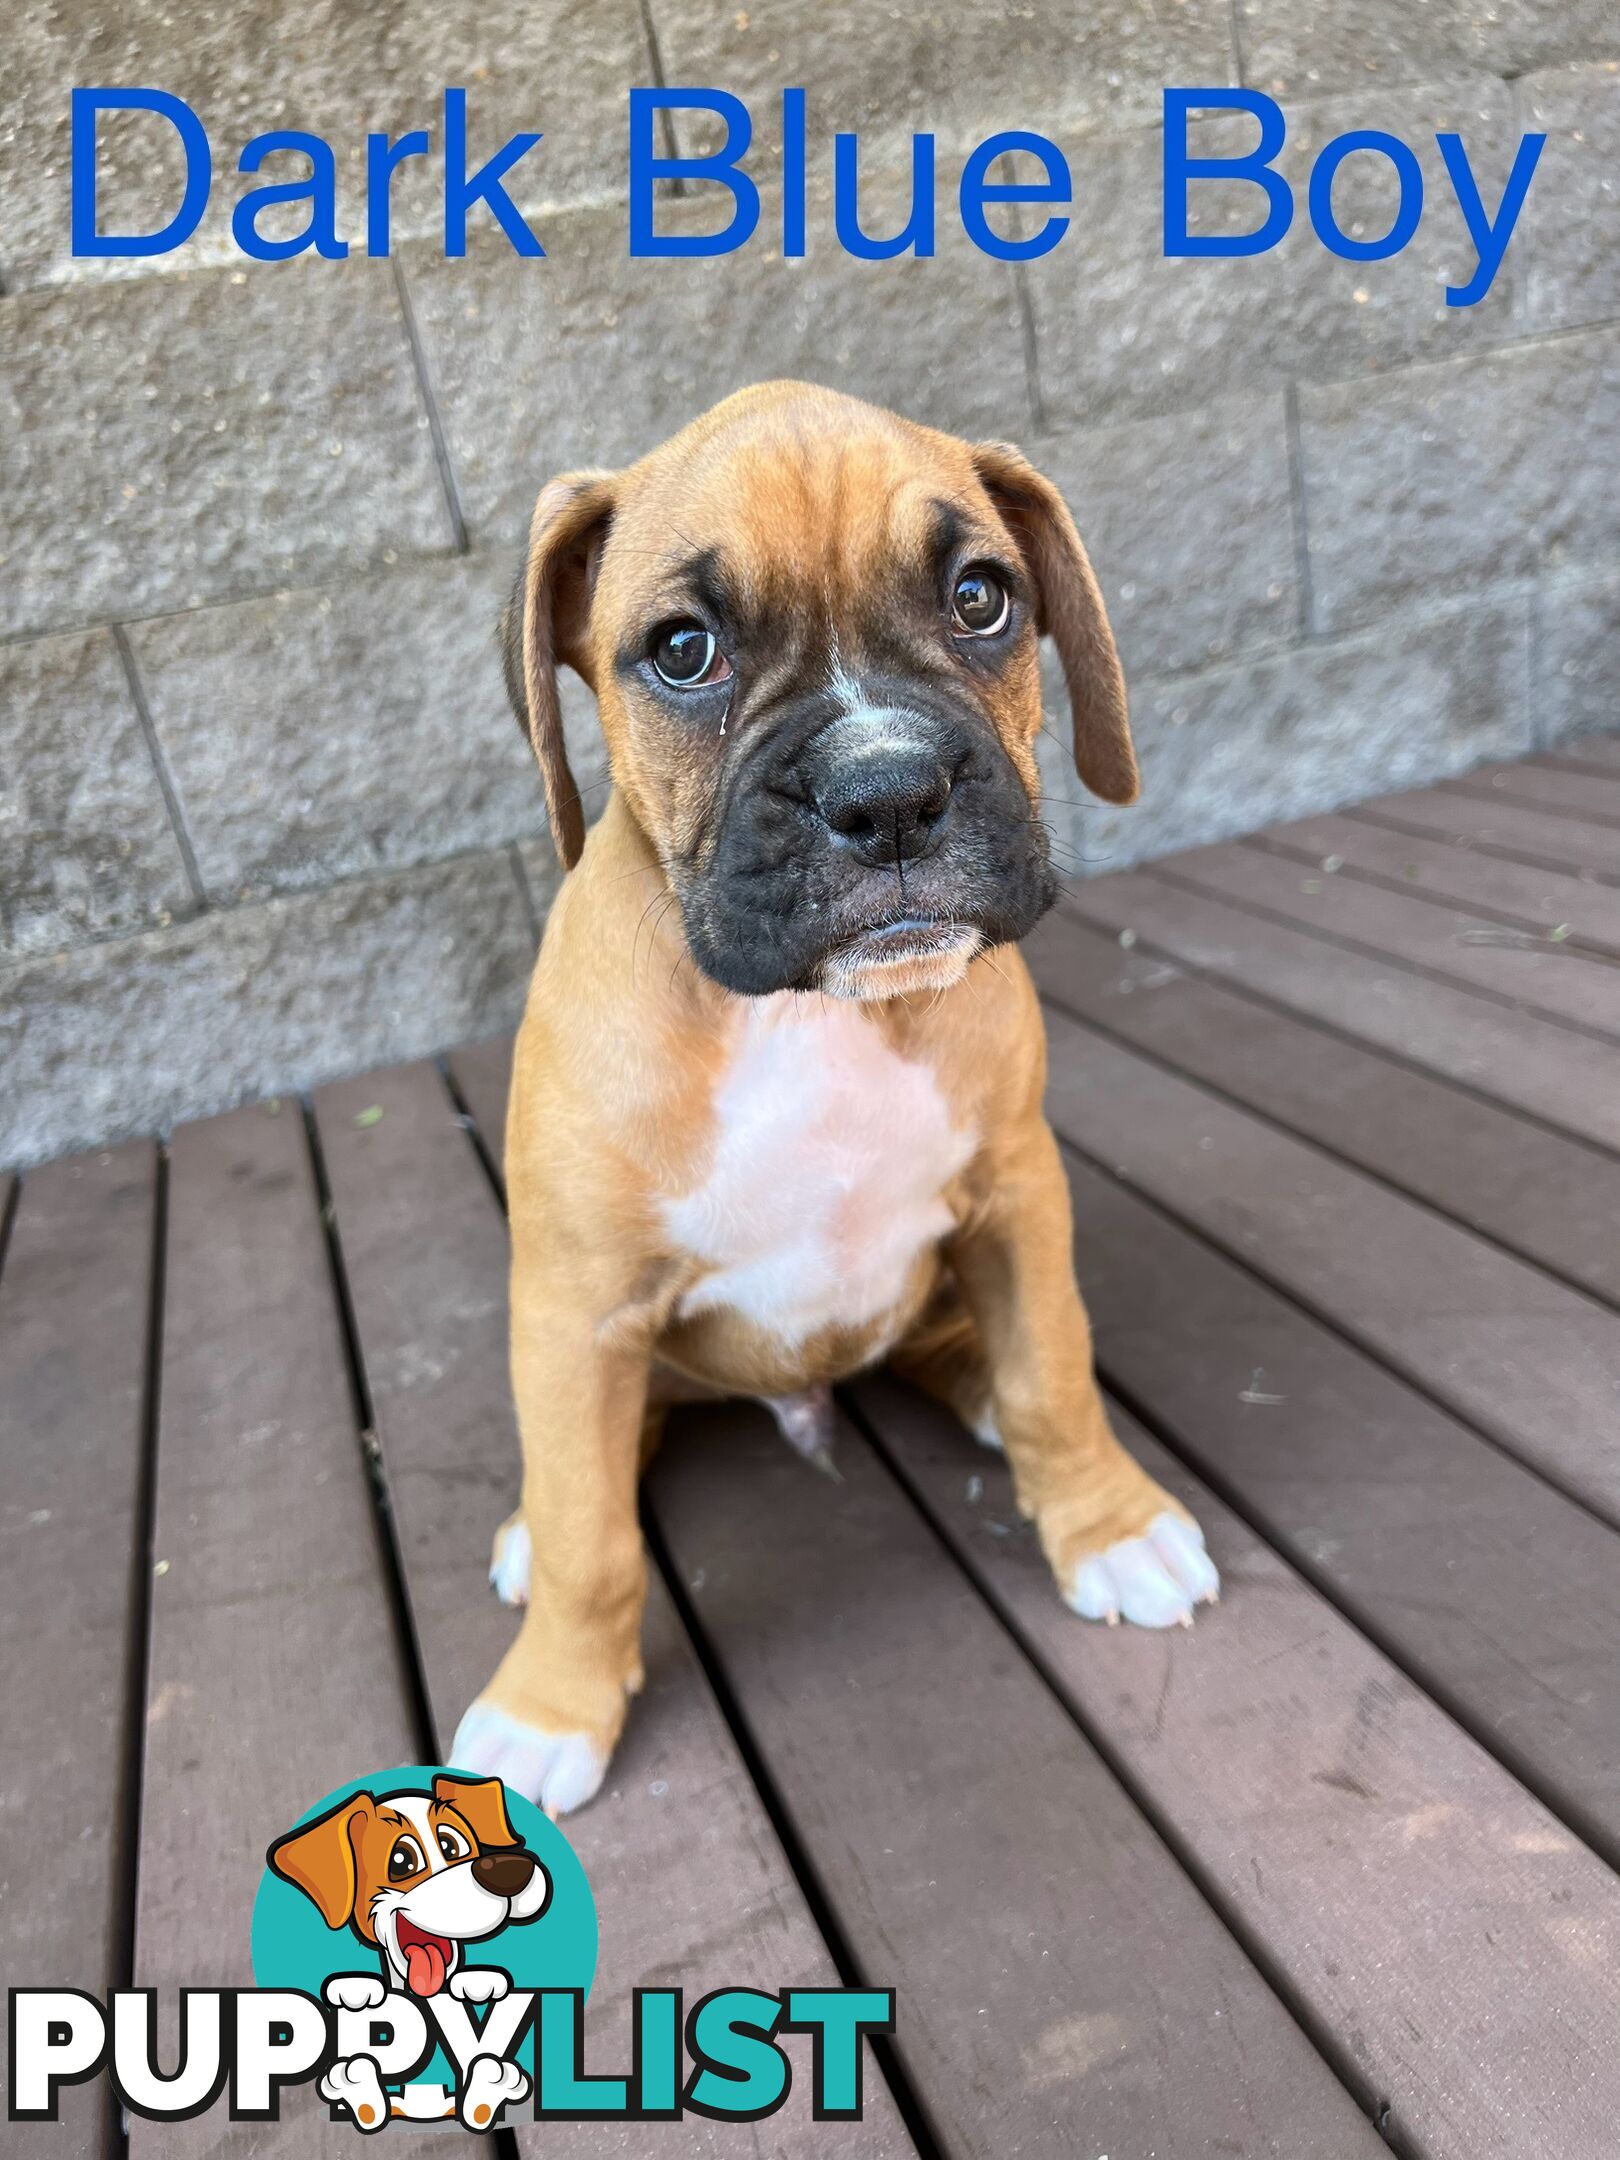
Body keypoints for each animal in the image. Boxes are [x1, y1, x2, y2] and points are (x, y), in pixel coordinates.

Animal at [451, 380, 1209, 1814]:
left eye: (981, 597)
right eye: (682, 650)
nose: (890, 790)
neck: (810, 1014)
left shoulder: (1016, 1197)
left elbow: (1055, 1374)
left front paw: (1108, 1525)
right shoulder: (577, 1300)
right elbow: (591, 1532)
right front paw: (552, 1704)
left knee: (965, 1351)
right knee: (598, 1457)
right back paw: (524, 1526)